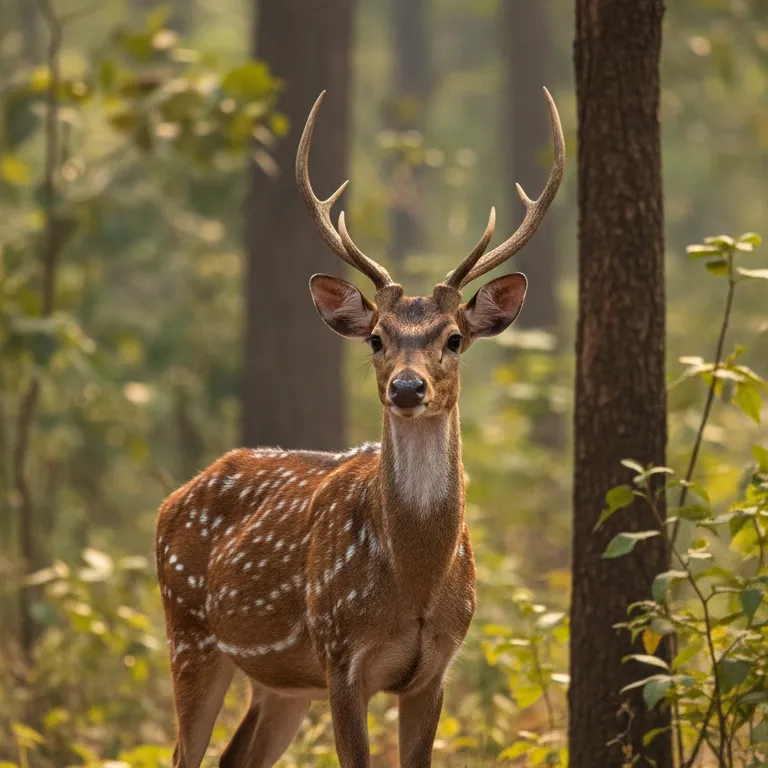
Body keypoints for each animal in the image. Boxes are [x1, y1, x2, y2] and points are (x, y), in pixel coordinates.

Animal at [155, 87, 564, 768]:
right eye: (376, 338)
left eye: (455, 338)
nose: (407, 387)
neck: (415, 583)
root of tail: (171, 500)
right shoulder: (342, 656)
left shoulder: (434, 670)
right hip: (188, 629)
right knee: (186, 751)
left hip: (282, 683)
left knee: (236, 756)